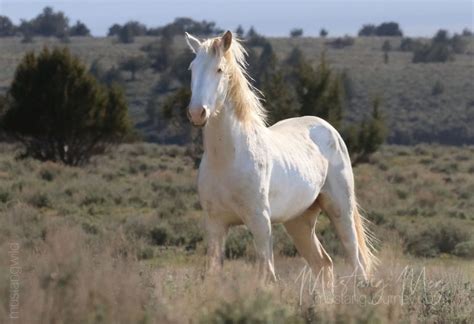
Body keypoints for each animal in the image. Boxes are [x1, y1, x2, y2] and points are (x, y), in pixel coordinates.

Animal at [183, 31, 376, 284]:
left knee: (356, 265)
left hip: (340, 211)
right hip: (299, 221)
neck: (227, 159)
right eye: (192, 68)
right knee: (323, 265)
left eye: (219, 69)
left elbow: (267, 275)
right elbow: (214, 274)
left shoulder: (260, 222)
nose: (197, 113)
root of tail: (329, 129)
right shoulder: (215, 225)